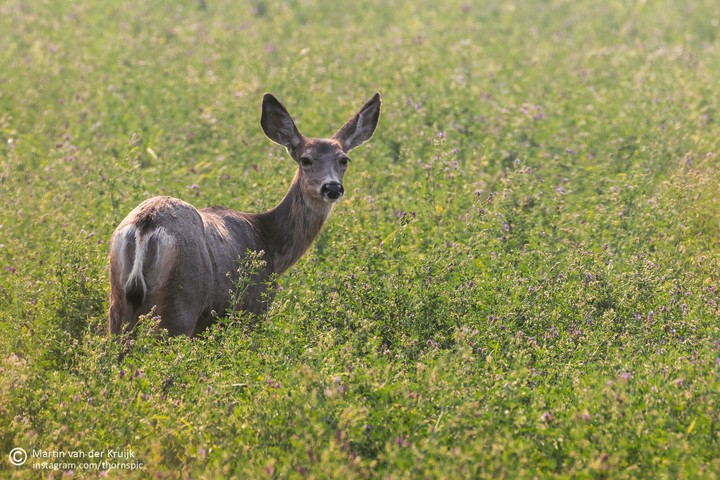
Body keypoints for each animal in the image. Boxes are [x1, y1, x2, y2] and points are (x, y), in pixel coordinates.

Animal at [108, 92, 381, 336]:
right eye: (305, 160)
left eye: (344, 160)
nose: (332, 187)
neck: (271, 245)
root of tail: (146, 225)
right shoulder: (254, 307)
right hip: (181, 303)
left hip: (118, 302)